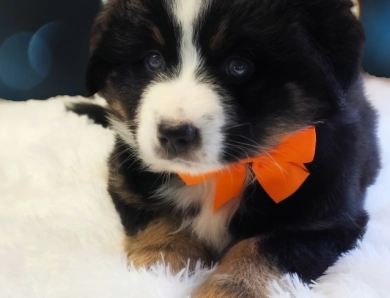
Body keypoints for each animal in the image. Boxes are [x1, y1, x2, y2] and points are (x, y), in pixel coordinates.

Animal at [80, 0, 380, 296]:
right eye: (153, 60)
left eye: (238, 66)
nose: (174, 134)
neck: (221, 177)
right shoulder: (126, 181)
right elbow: (159, 221)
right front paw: (160, 271)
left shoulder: (325, 219)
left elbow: (265, 249)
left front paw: (233, 287)